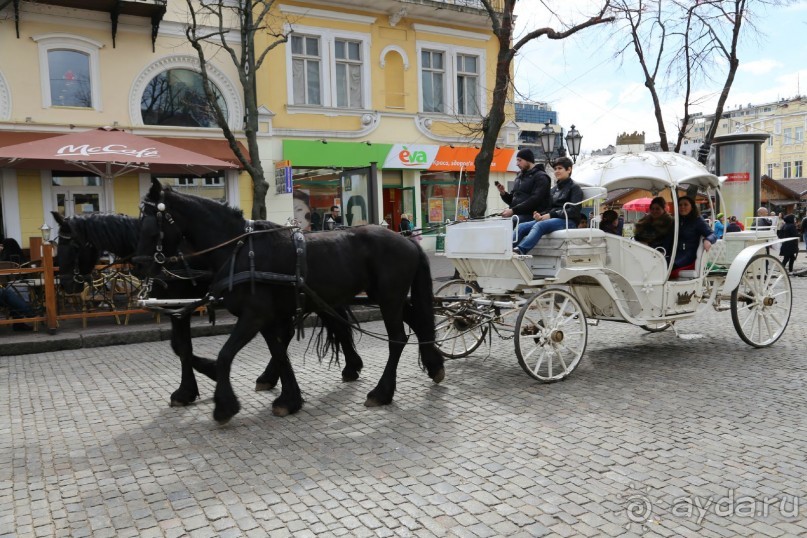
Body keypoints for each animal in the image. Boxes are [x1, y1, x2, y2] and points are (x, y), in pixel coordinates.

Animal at [51, 209, 362, 406]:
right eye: (55, 244)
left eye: (72, 246)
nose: (65, 284)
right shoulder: (178, 308)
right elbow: (179, 347)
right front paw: (198, 382)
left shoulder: (181, 305)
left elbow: (182, 348)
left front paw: (195, 383)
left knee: (330, 322)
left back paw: (349, 366)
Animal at [135, 180, 446, 422]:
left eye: (149, 225)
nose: (142, 268)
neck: (240, 249)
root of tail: (407, 240)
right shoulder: (267, 318)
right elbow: (278, 351)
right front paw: (289, 399)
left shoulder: (254, 315)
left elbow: (225, 355)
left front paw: (224, 404)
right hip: (383, 297)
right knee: (418, 322)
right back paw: (434, 365)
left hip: (389, 298)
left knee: (397, 339)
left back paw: (382, 392)